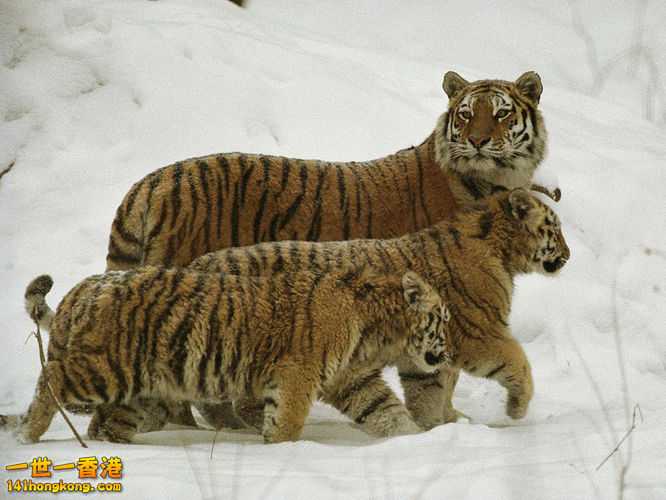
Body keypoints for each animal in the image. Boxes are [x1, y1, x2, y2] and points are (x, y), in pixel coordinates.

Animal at [9, 266, 451, 444]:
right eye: (443, 319)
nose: (449, 354)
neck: (375, 329)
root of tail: (84, 288)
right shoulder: (297, 376)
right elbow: (286, 423)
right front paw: (284, 451)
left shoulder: (353, 378)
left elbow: (387, 412)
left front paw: (418, 443)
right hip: (106, 370)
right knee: (51, 379)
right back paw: (27, 435)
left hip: (139, 390)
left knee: (104, 425)